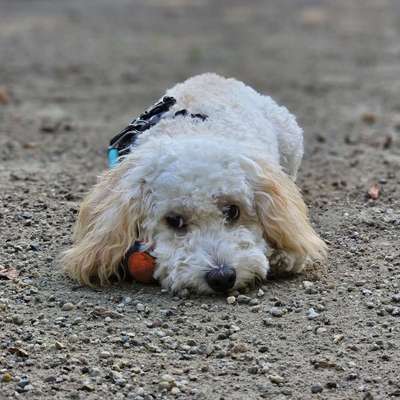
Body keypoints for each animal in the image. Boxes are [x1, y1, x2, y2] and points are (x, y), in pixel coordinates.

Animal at [61, 74, 324, 294]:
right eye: (174, 221)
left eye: (233, 211)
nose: (222, 277)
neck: (192, 132)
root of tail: (214, 77)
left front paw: (282, 255)